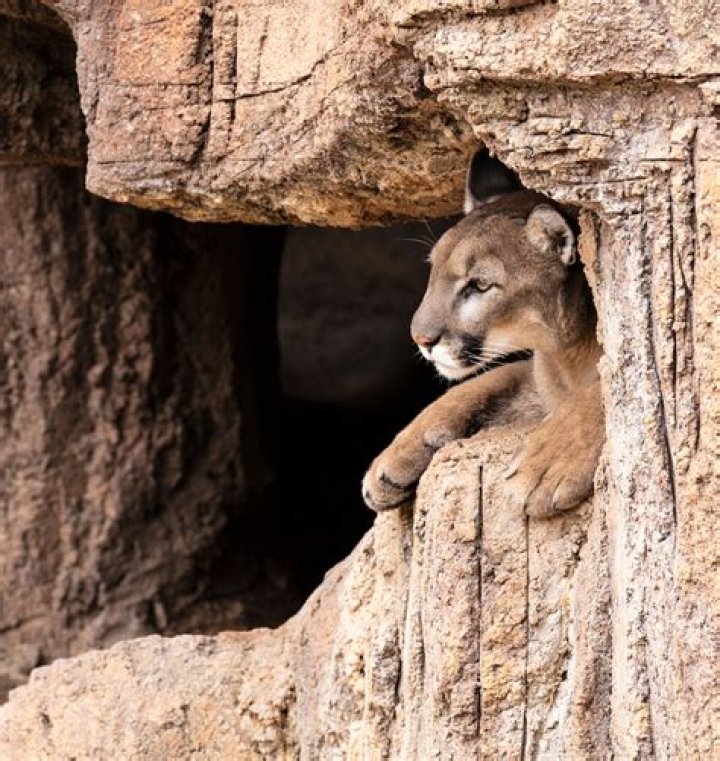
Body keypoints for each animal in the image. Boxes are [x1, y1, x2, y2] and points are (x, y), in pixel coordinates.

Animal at [362, 149, 604, 517]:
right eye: (433, 271)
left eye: (479, 285)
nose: (420, 338)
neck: (566, 355)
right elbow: (486, 382)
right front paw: (392, 460)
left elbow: (608, 390)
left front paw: (549, 465)